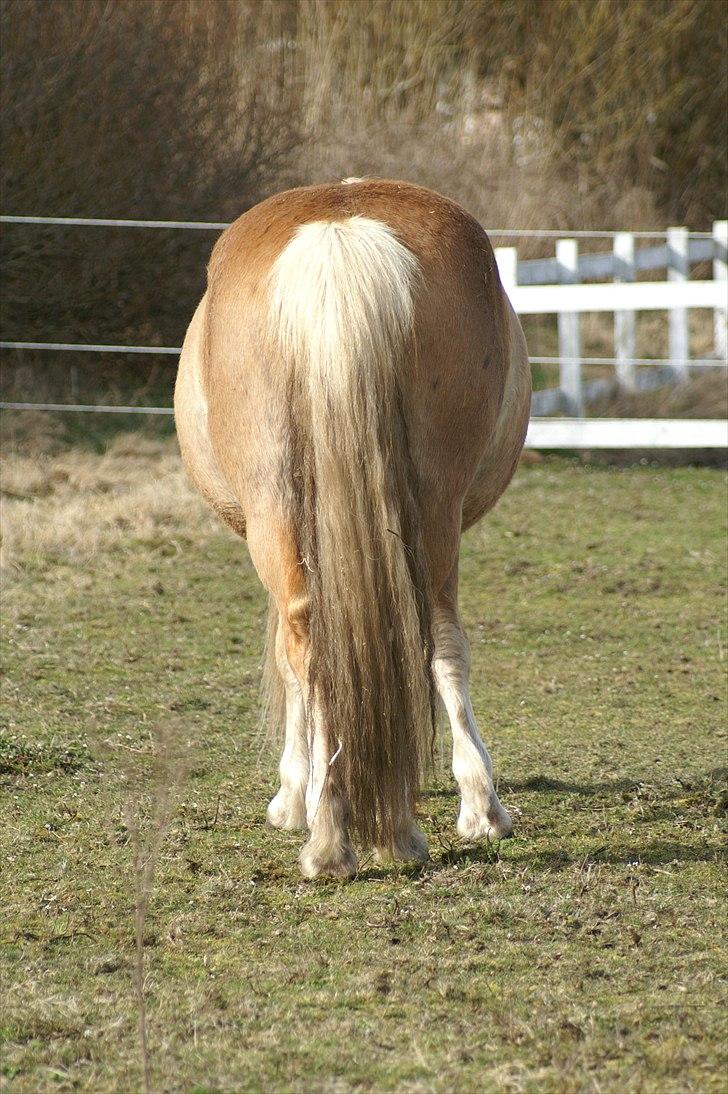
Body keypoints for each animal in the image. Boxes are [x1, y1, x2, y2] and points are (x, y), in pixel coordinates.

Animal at [174, 179, 532, 879]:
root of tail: (339, 231)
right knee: (426, 637)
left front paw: (293, 794)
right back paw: (426, 819)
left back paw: (352, 832)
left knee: (324, 646)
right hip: (422, 514)